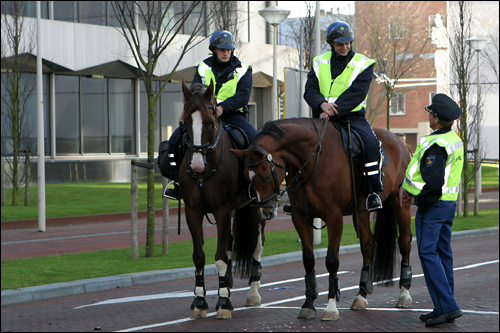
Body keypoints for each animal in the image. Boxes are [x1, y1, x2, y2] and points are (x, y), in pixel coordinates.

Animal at [179, 78, 266, 320]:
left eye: (210, 123)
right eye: (185, 122)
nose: (197, 165)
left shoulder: (222, 210)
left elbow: (219, 256)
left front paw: (224, 303)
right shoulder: (193, 211)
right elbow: (200, 256)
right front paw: (200, 301)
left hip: (257, 209)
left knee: (256, 247)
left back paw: (252, 293)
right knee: (229, 246)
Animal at [232, 118, 412, 320]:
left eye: (265, 176)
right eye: (247, 178)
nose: (265, 213)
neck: (312, 161)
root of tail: (399, 142)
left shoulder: (334, 217)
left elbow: (332, 260)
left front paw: (331, 307)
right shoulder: (300, 217)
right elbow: (308, 260)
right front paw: (308, 303)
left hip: (401, 203)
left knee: (404, 242)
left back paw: (404, 294)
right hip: (362, 212)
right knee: (367, 245)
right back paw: (361, 296)